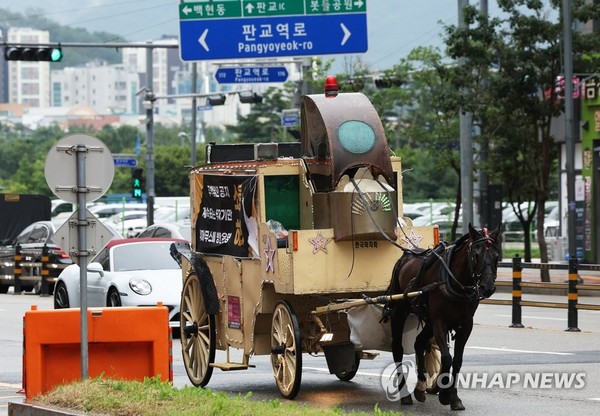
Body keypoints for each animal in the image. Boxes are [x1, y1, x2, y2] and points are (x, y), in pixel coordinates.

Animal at [390, 223, 496, 412]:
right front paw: (445, 394)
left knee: (419, 343)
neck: (455, 283)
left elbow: (458, 360)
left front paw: (454, 397)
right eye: (476, 254)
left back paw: (421, 386)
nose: (488, 287)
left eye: (496, 256)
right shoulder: (440, 322)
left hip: (429, 321)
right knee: (397, 349)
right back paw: (405, 395)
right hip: (400, 311)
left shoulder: (466, 325)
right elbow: (447, 358)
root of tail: (406, 256)